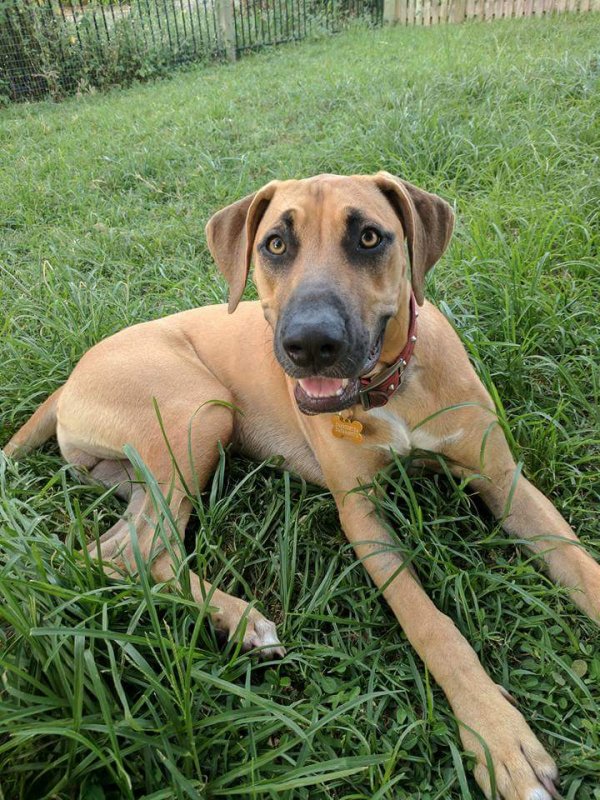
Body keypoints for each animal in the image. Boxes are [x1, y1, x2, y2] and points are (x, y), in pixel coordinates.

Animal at [5, 172, 600, 796]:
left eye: (369, 236)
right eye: (274, 244)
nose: (311, 343)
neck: (391, 391)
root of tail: (72, 373)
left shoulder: (504, 479)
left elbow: (580, 564)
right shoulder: (361, 515)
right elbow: (430, 623)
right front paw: (497, 735)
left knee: (117, 549)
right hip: (198, 410)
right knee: (142, 549)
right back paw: (243, 621)